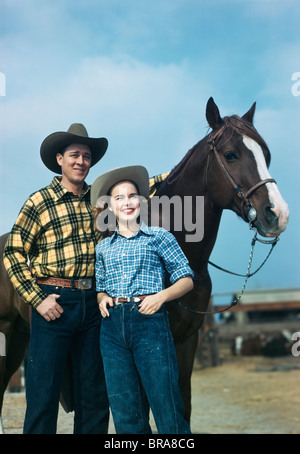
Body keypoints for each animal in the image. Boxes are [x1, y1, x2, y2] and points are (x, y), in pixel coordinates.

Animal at [0, 97, 288, 430]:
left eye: (266, 154)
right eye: (231, 154)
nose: (278, 214)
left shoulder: (185, 342)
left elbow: (182, 405)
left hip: (19, 338)